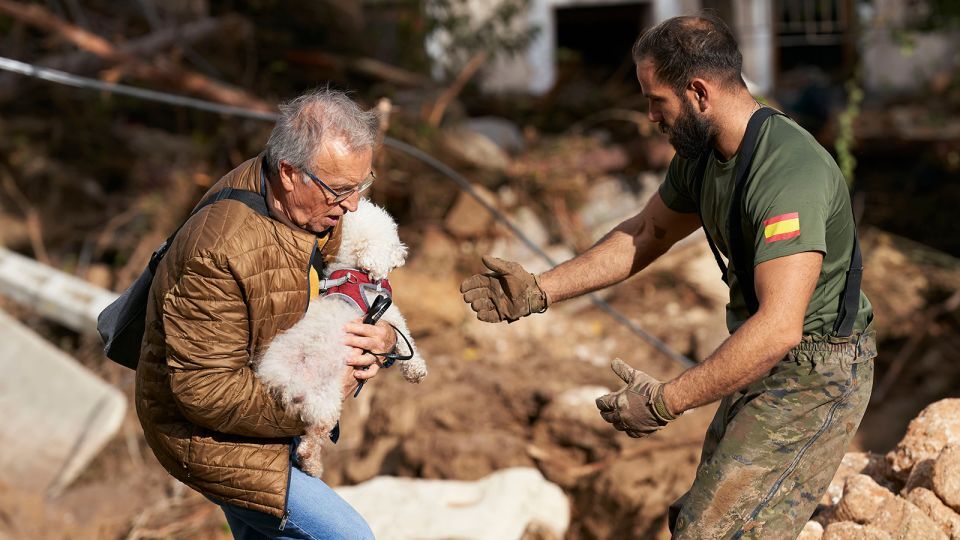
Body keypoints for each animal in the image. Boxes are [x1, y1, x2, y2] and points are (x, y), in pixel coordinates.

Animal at [255, 198, 424, 476]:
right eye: (392, 237)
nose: (403, 254)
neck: (352, 270)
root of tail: (283, 379)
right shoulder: (386, 314)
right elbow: (404, 338)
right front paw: (416, 370)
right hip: (327, 399)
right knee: (312, 439)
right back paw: (312, 465)